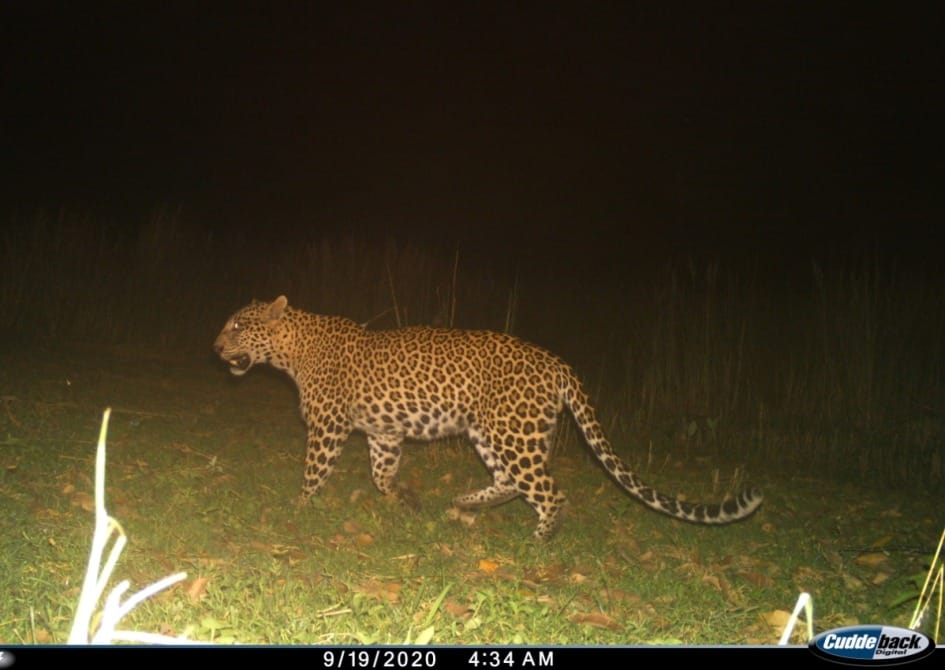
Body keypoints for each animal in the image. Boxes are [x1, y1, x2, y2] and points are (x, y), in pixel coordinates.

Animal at [213, 295, 762, 540]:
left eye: (238, 326)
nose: (215, 347)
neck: (290, 351)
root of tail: (557, 362)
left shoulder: (328, 427)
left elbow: (314, 473)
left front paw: (296, 509)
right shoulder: (385, 433)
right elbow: (381, 475)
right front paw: (406, 500)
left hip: (511, 434)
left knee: (548, 490)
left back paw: (540, 539)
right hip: (500, 433)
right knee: (514, 483)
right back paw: (464, 504)